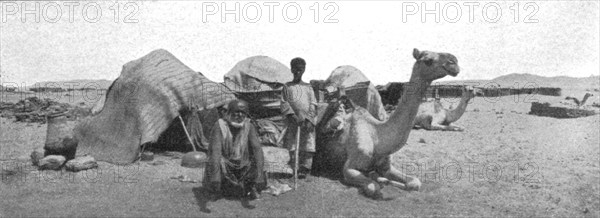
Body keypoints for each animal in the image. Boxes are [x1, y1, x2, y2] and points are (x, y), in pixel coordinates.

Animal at [324, 48, 460, 198]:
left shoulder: (387, 166)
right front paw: (379, 180)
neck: (377, 138)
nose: (454, 62)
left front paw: (388, 180)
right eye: (428, 60)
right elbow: (373, 187)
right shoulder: (349, 168)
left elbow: (414, 183)